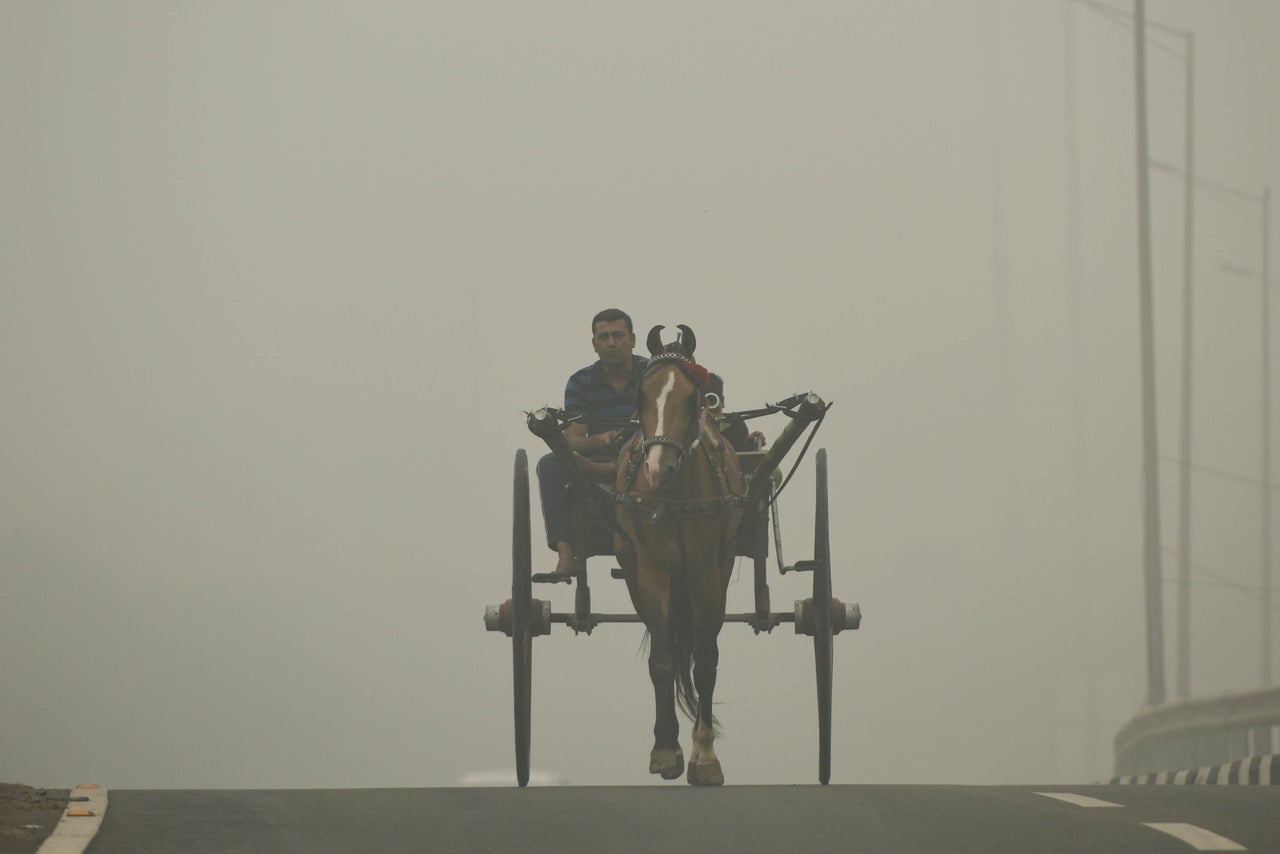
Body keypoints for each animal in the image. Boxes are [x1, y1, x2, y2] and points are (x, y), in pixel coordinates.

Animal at [611, 322, 747, 788]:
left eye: (693, 397)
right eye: (640, 395)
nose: (657, 468)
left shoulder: (707, 575)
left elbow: (705, 662)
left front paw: (704, 755)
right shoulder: (652, 574)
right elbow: (663, 661)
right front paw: (666, 749)